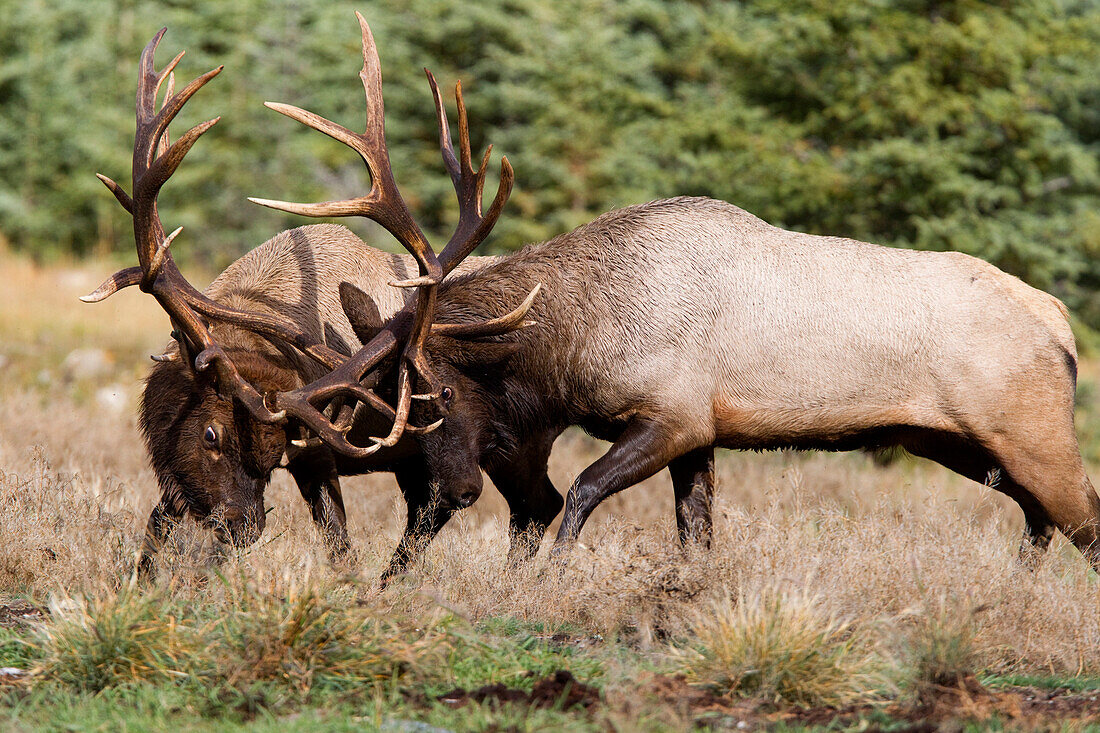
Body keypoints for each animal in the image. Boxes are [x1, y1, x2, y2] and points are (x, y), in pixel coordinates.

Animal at [83, 14, 558, 581]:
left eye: (273, 454)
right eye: (211, 436)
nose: (242, 528)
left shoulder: (319, 449)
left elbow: (338, 540)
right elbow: (154, 530)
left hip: (506, 445)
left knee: (525, 504)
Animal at [352, 193, 1100, 563]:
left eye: (442, 392)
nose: (454, 489)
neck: (576, 342)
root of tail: (1061, 323)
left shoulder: (674, 417)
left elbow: (581, 495)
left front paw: (551, 582)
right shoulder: (699, 435)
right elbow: (696, 537)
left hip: (1029, 434)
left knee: (1082, 518)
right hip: (956, 442)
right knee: (1040, 518)